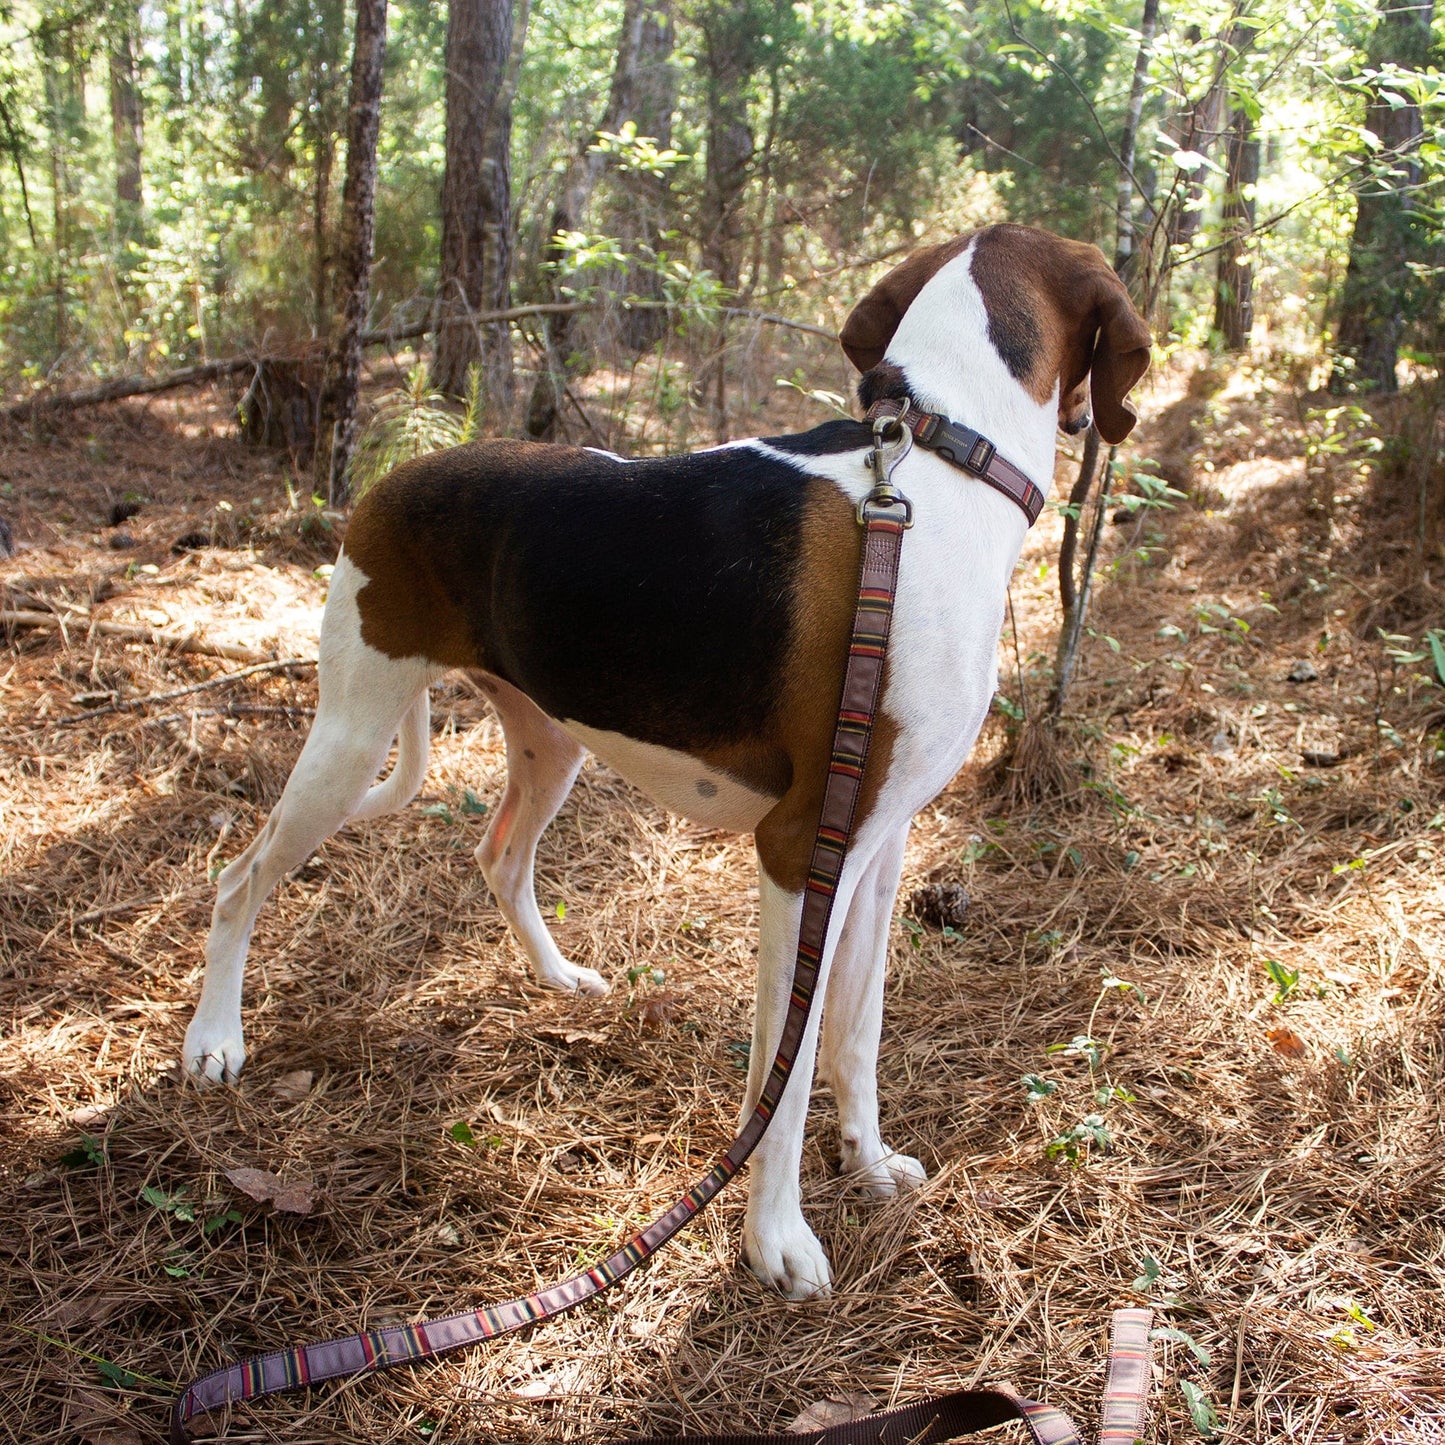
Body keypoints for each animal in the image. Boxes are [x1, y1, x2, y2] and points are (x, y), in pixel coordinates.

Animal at [183, 222, 1150, 1300]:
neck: (940, 459)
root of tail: (391, 478)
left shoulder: (879, 846)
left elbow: (854, 1033)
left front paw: (866, 1161)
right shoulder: (799, 852)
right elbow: (785, 1069)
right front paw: (775, 1239)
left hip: (550, 738)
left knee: (499, 856)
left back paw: (557, 978)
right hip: (350, 738)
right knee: (238, 878)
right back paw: (214, 1040)